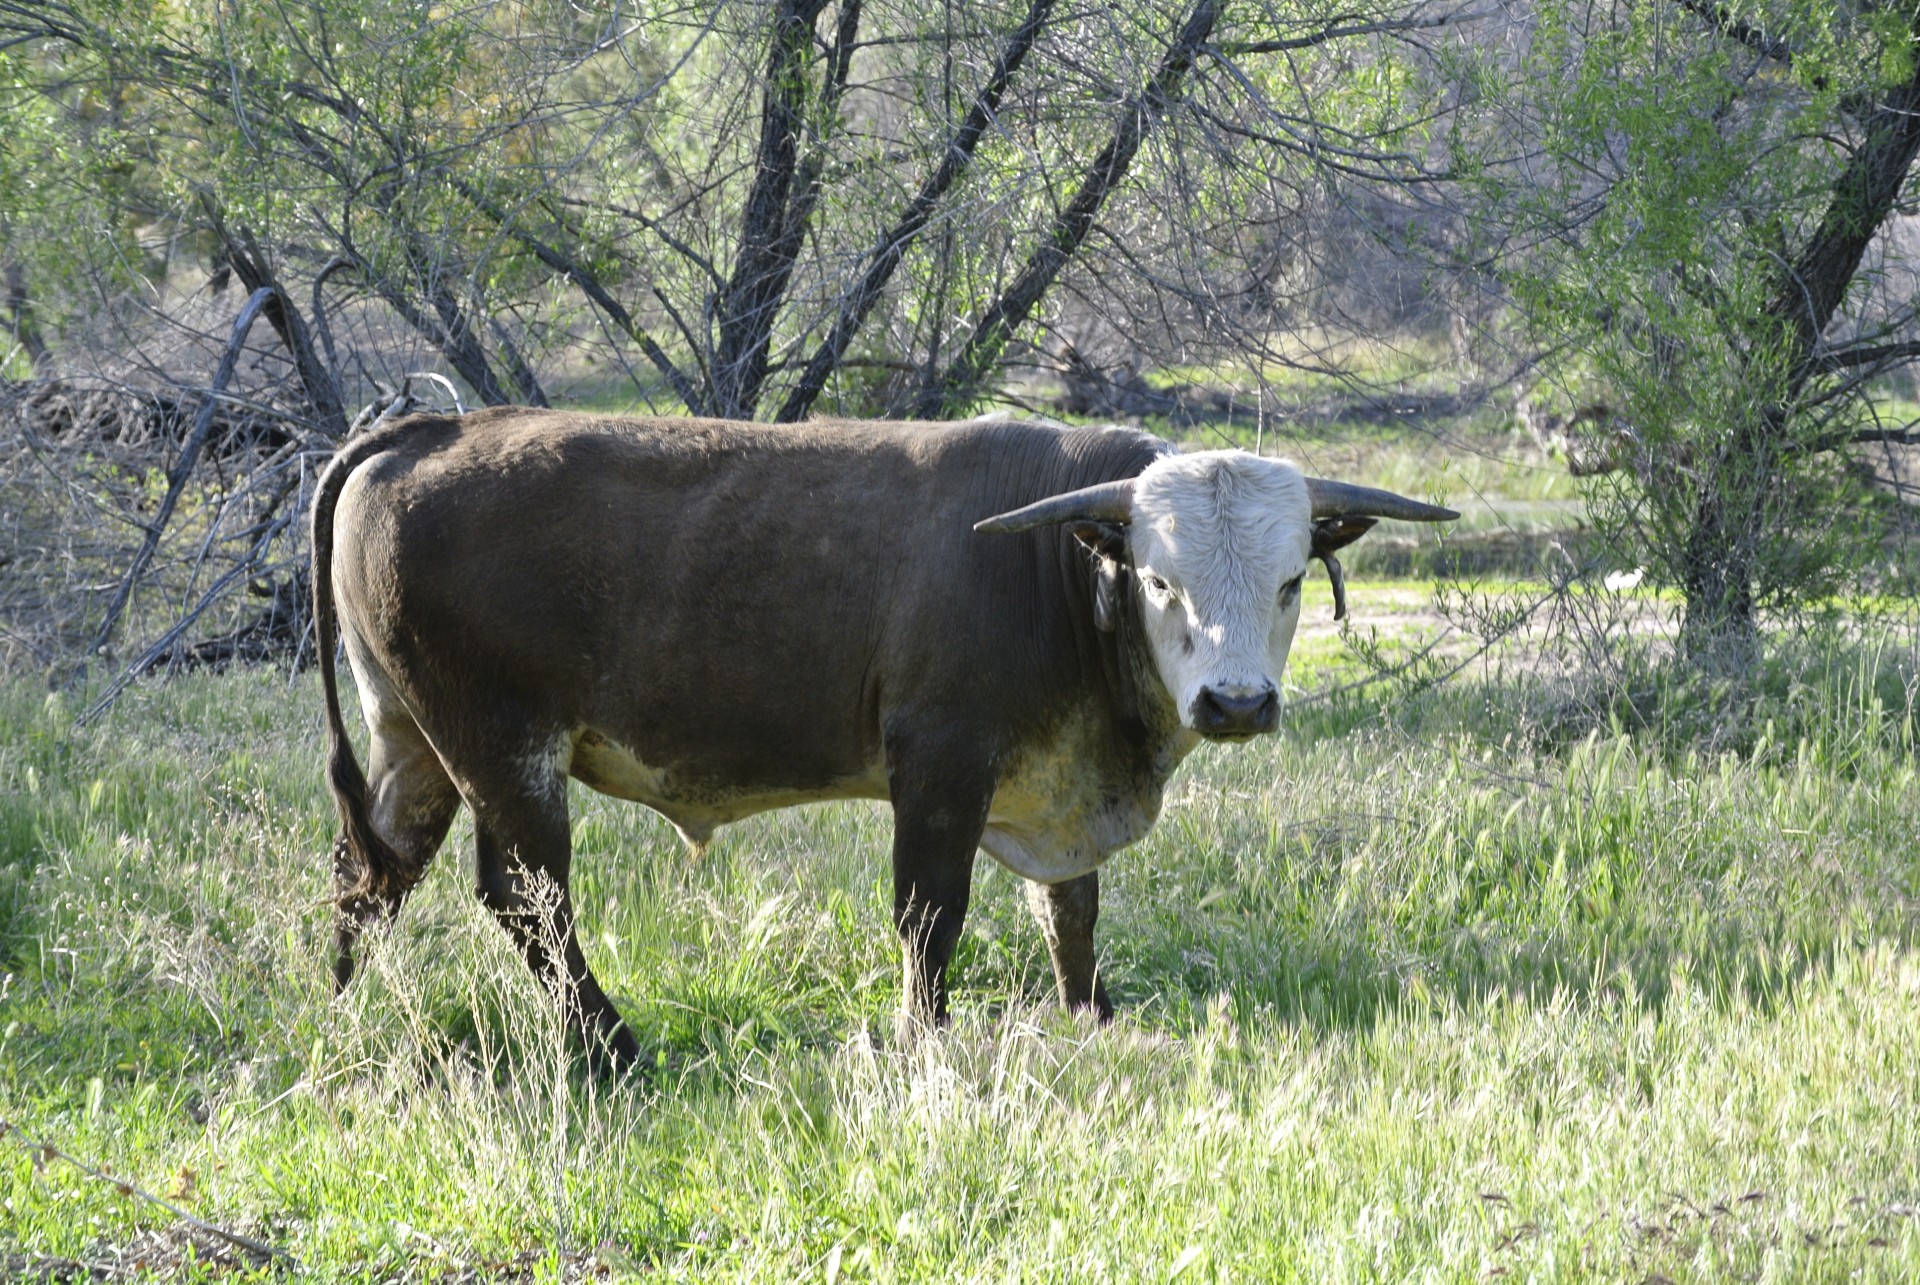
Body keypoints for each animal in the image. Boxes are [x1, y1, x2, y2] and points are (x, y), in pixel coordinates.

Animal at [314, 409, 1451, 1060]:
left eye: (1292, 578)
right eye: (1161, 577)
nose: (1236, 703)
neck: (1055, 570)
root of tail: (431, 427)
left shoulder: (1055, 789)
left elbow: (1070, 914)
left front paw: (1091, 1019)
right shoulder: (942, 761)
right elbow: (930, 912)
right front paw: (924, 1034)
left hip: (412, 740)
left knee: (373, 872)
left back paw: (338, 1015)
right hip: (504, 748)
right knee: (528, 897)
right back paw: (613, 1047)